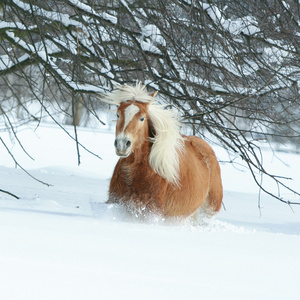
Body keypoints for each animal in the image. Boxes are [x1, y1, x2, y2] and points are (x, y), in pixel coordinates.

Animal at [103, 82, 223, 223]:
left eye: (142, 118)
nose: (122, 145)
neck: (134, 171)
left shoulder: (150, 213)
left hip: (208, 211)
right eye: (118, 115)